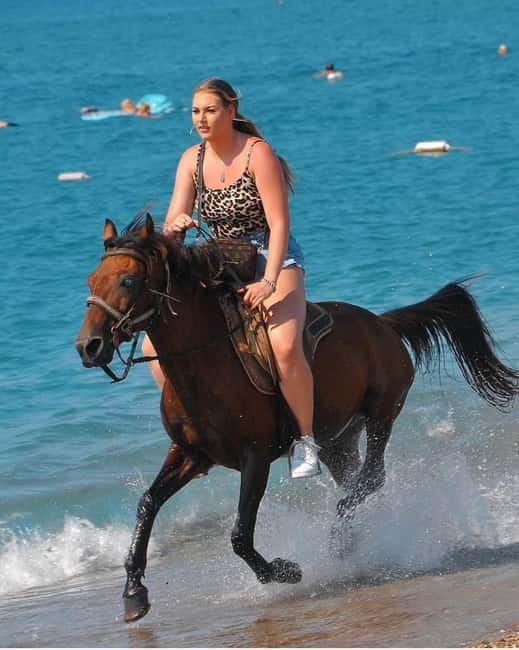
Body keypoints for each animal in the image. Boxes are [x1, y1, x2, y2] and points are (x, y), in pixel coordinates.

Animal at [75, 214, 518, 623]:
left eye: (128, 281)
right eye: (91, 281)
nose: (88, 346)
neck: (205, 362)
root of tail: (383, 323)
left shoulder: (255, 458)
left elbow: (239, 534)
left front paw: (284, 571)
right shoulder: (189, 454)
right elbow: (148, 504)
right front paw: (134, 593)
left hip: (382, 414)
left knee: (372, 478)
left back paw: (338, 543)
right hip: (339, 439)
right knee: (358, 482)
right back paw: (358, 546)